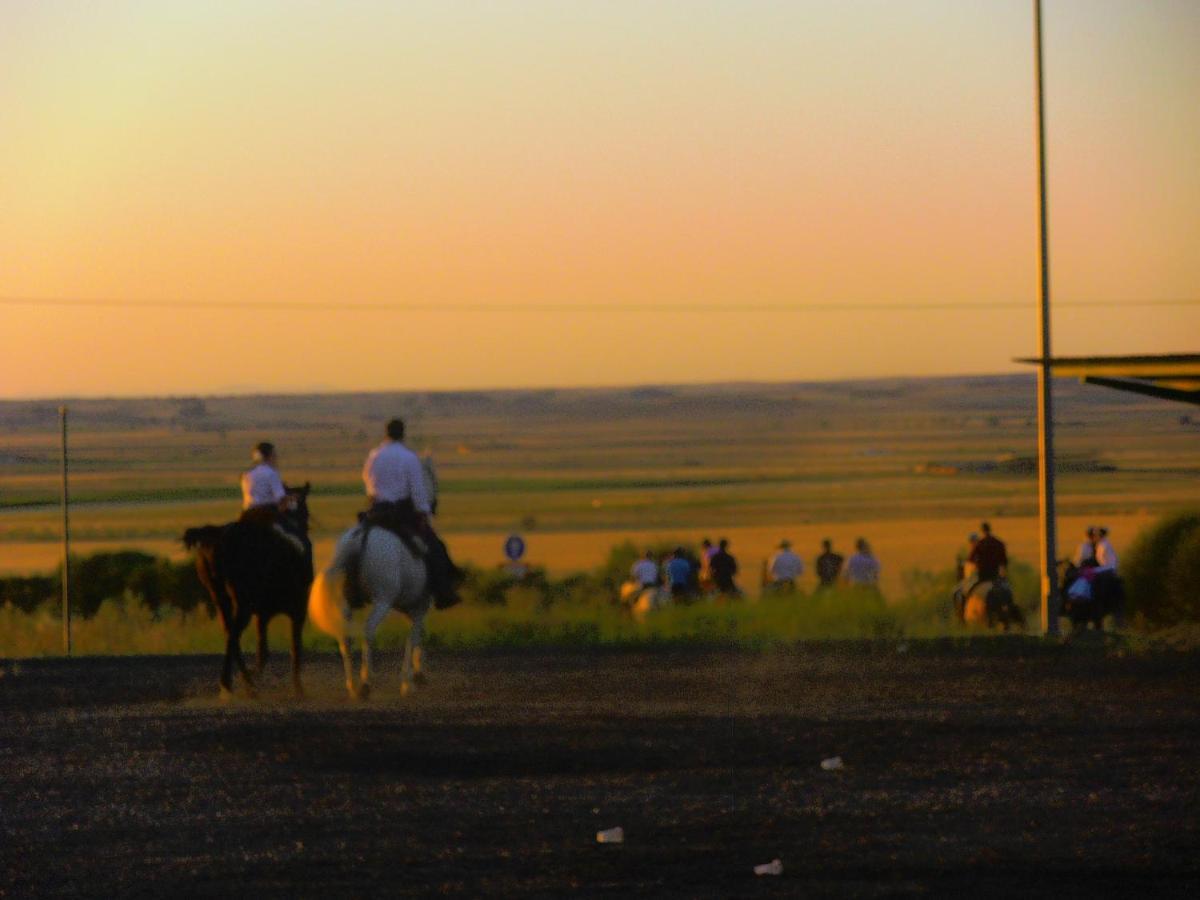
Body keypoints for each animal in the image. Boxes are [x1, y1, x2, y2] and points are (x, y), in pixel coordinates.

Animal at [182, 487, 314, 696]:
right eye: (305, 512)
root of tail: (218, 537)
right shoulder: (297, 609)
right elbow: (293, 647)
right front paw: (297, 688)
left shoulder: (263, 614)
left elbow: (263, 649)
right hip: (243, 605)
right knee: (234, 634)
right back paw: (235, 682)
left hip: (220, 598)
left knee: (230, 633)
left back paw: (241, 681)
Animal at [309, 453, 441, 700]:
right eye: (432, 476)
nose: (434, 505)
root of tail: (361, 536)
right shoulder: (420, 604)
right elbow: (414, 636)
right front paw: (409, 680)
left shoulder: (412, 606)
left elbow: (418, 634)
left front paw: (418, 674)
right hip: (382, 601)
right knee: (368, 631)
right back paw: (365, 683)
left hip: (347, 603)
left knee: (345, 637)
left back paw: (352, 684)